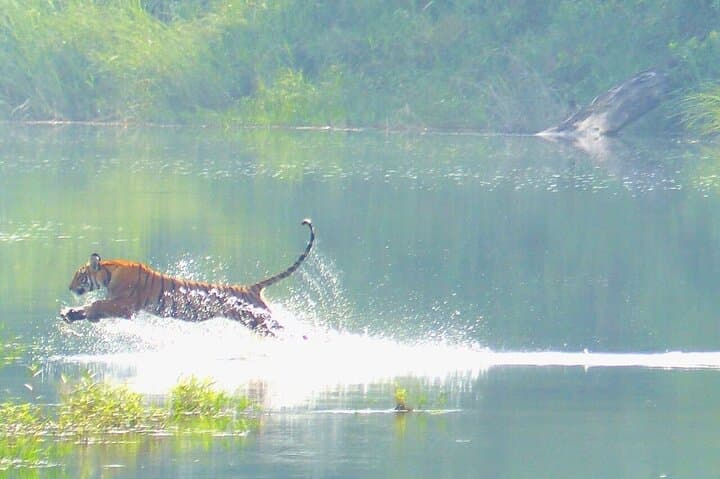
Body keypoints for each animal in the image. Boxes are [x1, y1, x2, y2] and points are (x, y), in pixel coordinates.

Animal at [60, 219, 314, 337]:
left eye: (79, 276)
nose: (69, 287)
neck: (109, 273)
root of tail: (251, 288)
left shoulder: (126, 305)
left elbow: (98, 303)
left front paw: (85, 313)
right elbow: (93, 306)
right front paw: (70, 314)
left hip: (258, 320)